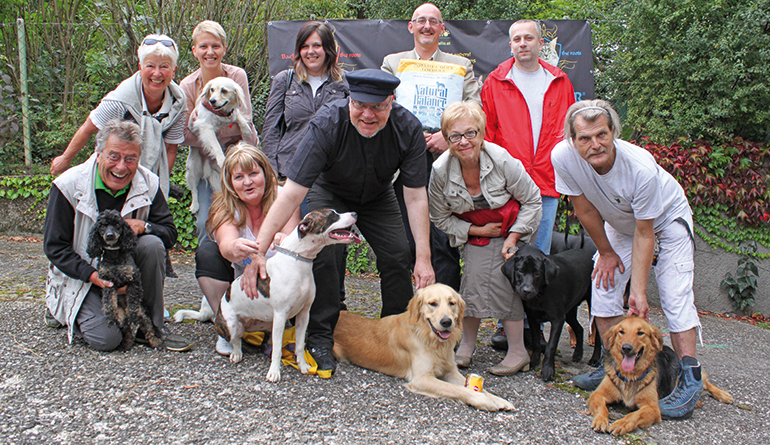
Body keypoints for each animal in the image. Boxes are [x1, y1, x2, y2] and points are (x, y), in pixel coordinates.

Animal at [185, 76, 252, 213]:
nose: (212, 100)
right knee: (194, 189)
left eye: (224, 91)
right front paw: (221, 159)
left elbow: (239, 117)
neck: (221, 114)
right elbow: (215, 144)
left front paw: (247, 130)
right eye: (212, 89)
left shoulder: (233, 115)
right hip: (192, 169)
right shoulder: (205, 127)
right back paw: (195, 205)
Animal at [213, 208, 360, 382]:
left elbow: (300, 344)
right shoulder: (281, 314)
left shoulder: (304, 314)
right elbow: (277, 349)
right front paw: (274, 372)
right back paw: (236, 354)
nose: (355, 213)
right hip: (232, 324)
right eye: (332, 215)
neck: (299, 260)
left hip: (267, 324)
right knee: (236, 340)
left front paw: (303, 366)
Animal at [332, 282, 512, 412]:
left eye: (452, 303)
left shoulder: (451, 371)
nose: (446, 322)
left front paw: (499, 400)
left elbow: (480, 388)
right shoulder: (422, 378)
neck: (431, 340)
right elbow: (457, 389)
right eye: (432, 303)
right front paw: (482, 401)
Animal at [588, 316, 732, 434]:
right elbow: (601, 407)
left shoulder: (652, 408)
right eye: (621, 331)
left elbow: (634, 415)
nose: (626, 348)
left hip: (677, 375)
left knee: (704, 382)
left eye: (640, 333)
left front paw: (622, 424)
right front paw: (600, 420)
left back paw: (722, 395)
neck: (629, 375)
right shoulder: (597, 394)